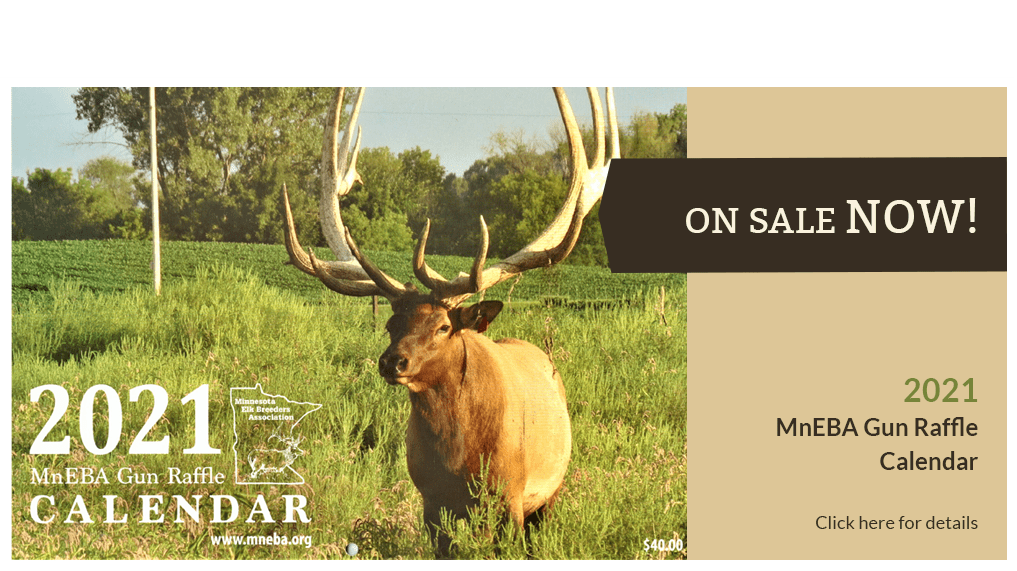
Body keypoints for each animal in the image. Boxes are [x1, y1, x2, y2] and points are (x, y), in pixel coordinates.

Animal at [281, 87, 618, 556]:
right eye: (391, 324)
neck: (460, 460)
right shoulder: (430, 500)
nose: (392, 362)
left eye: (443, 326)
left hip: (551, 490)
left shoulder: (510, 495)